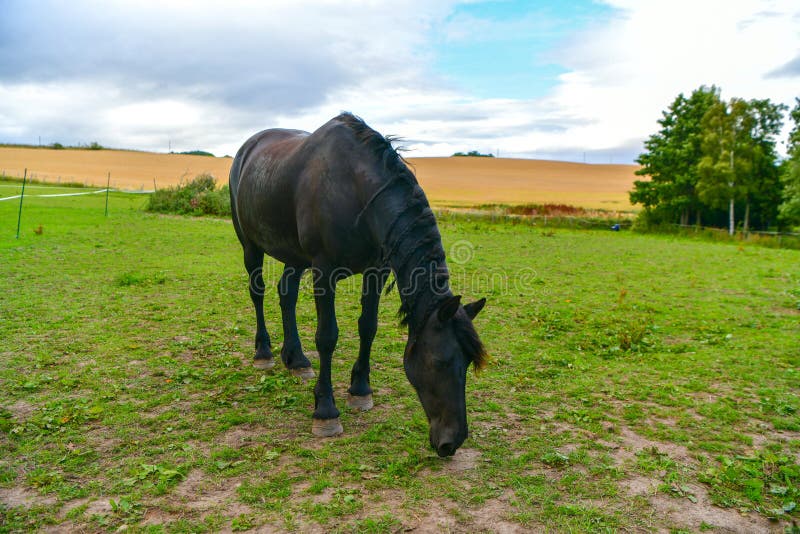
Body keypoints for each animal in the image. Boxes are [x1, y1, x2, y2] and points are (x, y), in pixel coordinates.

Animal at [228, 112, 484, 456]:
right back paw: (264, 353)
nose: (452, 441)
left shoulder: (376, 271)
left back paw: (296, 359)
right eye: (439, 362)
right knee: (257, 294)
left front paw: (360, 390)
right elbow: (327, 337)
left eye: (468, 362)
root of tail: (248, 147)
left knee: (287, 295)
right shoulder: (324, 271)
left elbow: (368, 327)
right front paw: (326, 411)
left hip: (295, 256)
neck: (355, 190)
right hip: (251, 246)